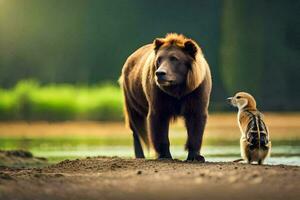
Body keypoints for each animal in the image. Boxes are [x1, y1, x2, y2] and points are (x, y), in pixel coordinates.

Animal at [119, 33, 211, 162]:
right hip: (131, 95)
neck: (178, 89)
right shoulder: (159, 95)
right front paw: (164, 155)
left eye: (174, 58)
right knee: (136, 124)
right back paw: (140, 155)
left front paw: (195, 156)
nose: (160, 73)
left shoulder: (195, 92)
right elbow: (159, 122)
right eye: (159, 59)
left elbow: (196, 122)